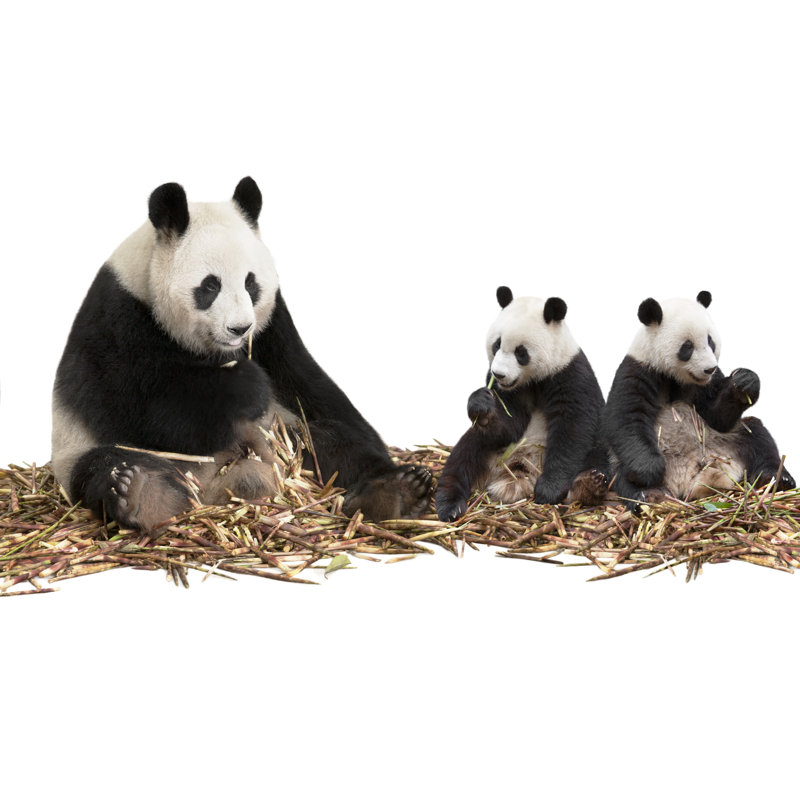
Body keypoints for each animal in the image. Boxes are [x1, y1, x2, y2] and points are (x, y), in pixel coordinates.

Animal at [51, 177, 432, 531]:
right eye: (210, 285)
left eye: (251, 283)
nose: (239, 329)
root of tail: (219, 491)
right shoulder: (117, 320)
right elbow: (145, 409)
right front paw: (245, 387)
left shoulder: (273, 326)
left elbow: (308, 382)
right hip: (85, 453)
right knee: (106, 465)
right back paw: (142, 495)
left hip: (286, 440)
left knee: (330, 441)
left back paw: (397, 492)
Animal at [435, 286, 609, 522]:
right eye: (497, 344)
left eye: (521, 352)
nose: (499, 374)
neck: (533, 380)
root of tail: (519, 468)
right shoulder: (508, 391)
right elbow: (509, 424)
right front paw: (483, 406)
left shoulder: (570, 374)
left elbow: (573, 428)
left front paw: (549, 490)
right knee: (465, 453)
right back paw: (449, 505)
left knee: (599, 454)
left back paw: (589, 485)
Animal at [603, 290, 795, 507]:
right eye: (687, 346)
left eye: (710, 341)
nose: (709, 368)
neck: (675, 377)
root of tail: (691, 481)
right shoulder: (639, 371)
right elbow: (626, 418)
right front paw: (649, 471)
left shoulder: (706, 385)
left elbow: (718, 417)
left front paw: (745, 381)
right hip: (622, 461)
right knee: (621, 474)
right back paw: (649, 494)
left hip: (726, 441)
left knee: (757, 436)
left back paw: (775, 479)